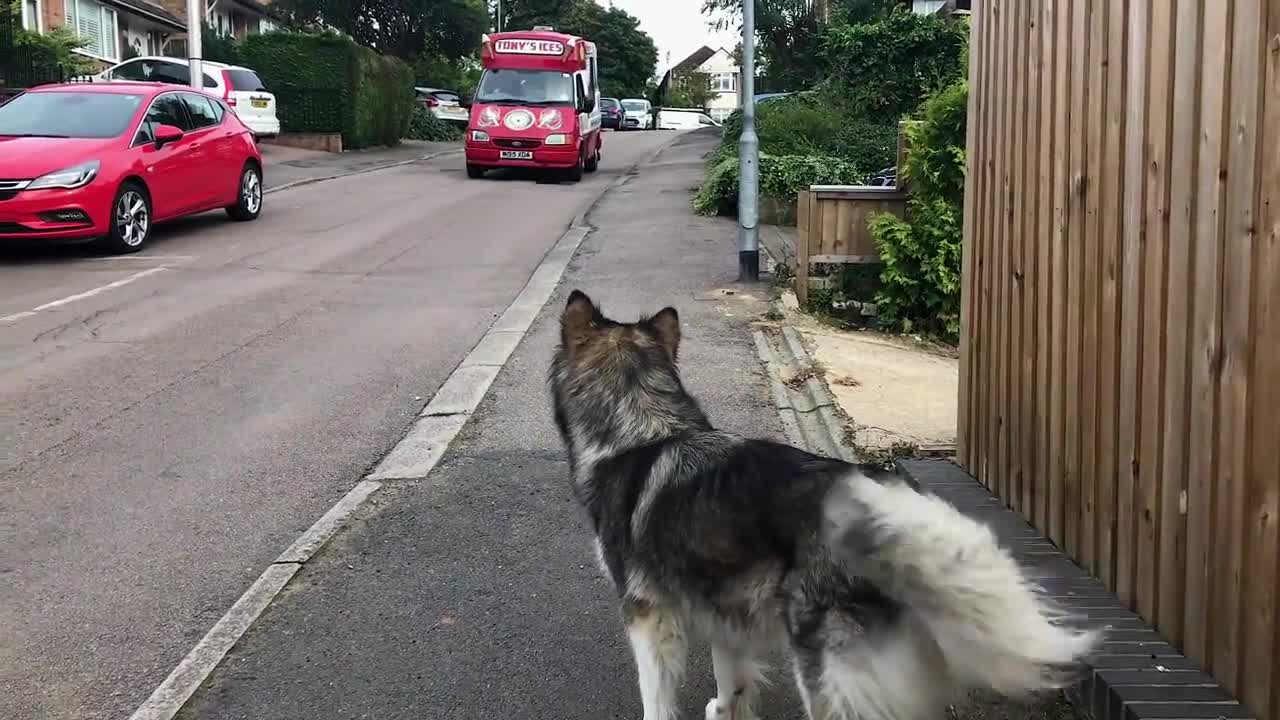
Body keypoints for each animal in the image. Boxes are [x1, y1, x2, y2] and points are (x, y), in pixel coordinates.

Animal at [550, 288, 1100, 712]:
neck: (642, 432)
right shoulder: (723, 608)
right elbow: (730, 686)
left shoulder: (649, 616)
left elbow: (657, 698)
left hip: (823, 667)